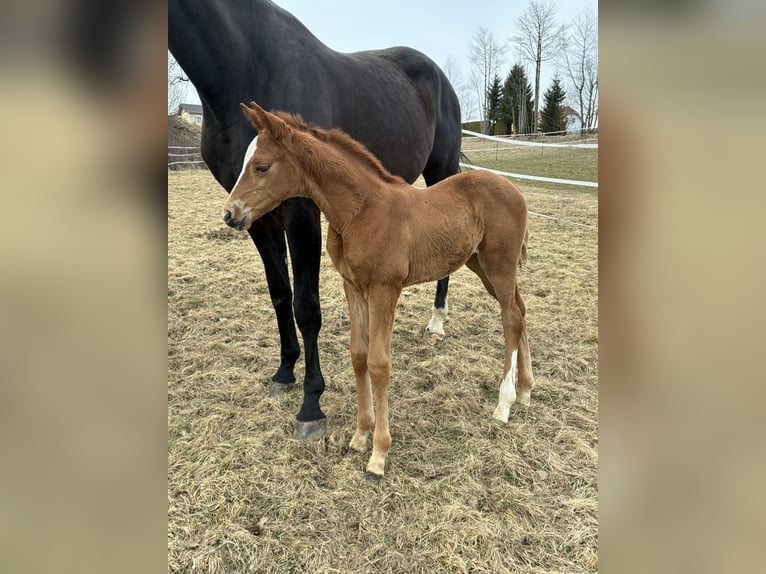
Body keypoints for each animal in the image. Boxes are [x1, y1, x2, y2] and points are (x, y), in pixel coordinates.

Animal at [169, 0, 461, 441]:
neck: (247, 63)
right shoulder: (256, 217)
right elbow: (280, 295)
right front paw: (284, 372)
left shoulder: (301, 211)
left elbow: (306, 305)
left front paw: (311, 406)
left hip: (442, 170)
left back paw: (436, 323)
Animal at [223, 103, 534, 479]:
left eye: (262, 166)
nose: (230, 214)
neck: (361, 211)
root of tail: (515, 190)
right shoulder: (353, 286)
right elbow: (359, 356)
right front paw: (359, 436)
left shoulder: (385, 289)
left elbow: (379, 363)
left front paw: (379, 454)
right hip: (483, 266)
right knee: (520, 310)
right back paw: (525, 391)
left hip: (498, 266)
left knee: (511, 318)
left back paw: (504, 405)